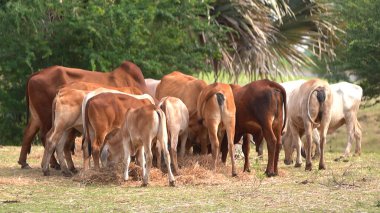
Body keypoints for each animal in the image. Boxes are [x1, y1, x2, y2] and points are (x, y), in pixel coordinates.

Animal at [19, 60, 148, 169]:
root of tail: (37, 74)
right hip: (48, 117)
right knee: (46, 136)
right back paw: (55, 164)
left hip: (37, 117)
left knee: (29, 133)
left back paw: (24, 162)